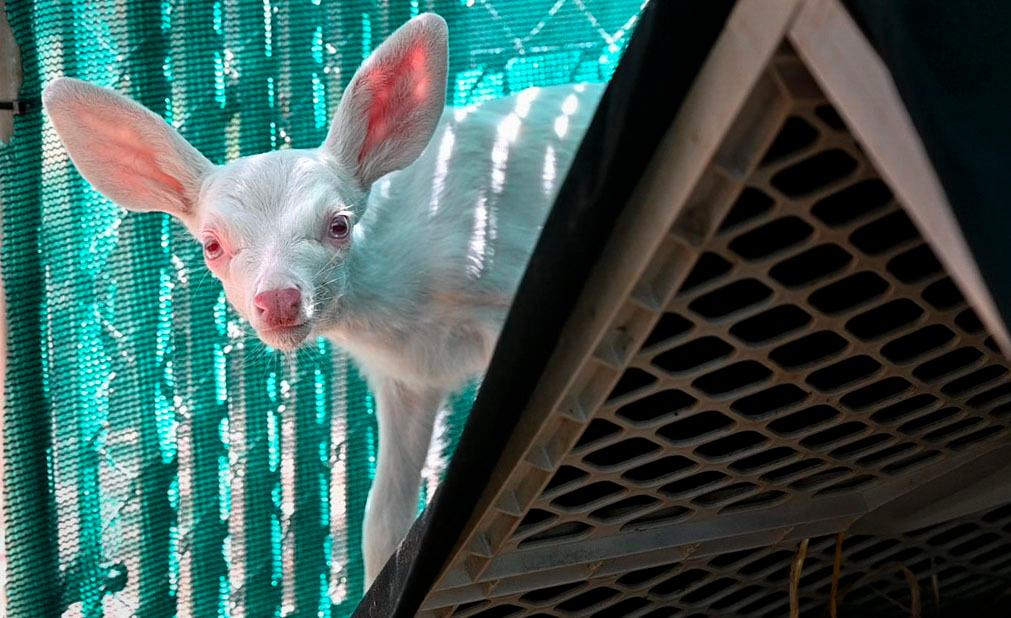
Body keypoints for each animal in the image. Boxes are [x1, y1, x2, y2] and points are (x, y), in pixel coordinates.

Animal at [43, 13, 601, 585]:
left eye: (339, 224)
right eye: (211, 245)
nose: (279, 300)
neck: (406, 305)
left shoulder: (502, 293)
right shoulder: (404, 376)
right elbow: (381, 522)